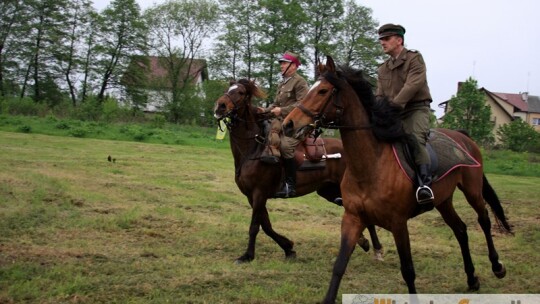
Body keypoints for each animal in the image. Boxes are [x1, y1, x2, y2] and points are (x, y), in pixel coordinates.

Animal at [212, 78, 384, 264]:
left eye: (241, 92)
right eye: (228, 88)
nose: (220, 106)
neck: (253, 149)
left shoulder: (259, 193)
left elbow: (255, 226)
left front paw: (247, 255)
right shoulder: (252, 196)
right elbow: (266, 225)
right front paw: (288, 247)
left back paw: (377, 249)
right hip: (329, 191)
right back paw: (363, 241)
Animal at [280, 55, 512, 302]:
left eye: (323, 91)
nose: (288, 124)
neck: (370, 166)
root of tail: (462, 136)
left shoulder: (399, 223)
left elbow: (408, 270)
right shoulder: (352, 218)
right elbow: (340, 265)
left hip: (472, 190)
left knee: (484, 220)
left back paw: (497, 266)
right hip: (443, 201)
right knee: (460, 230)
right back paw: (471, 279)